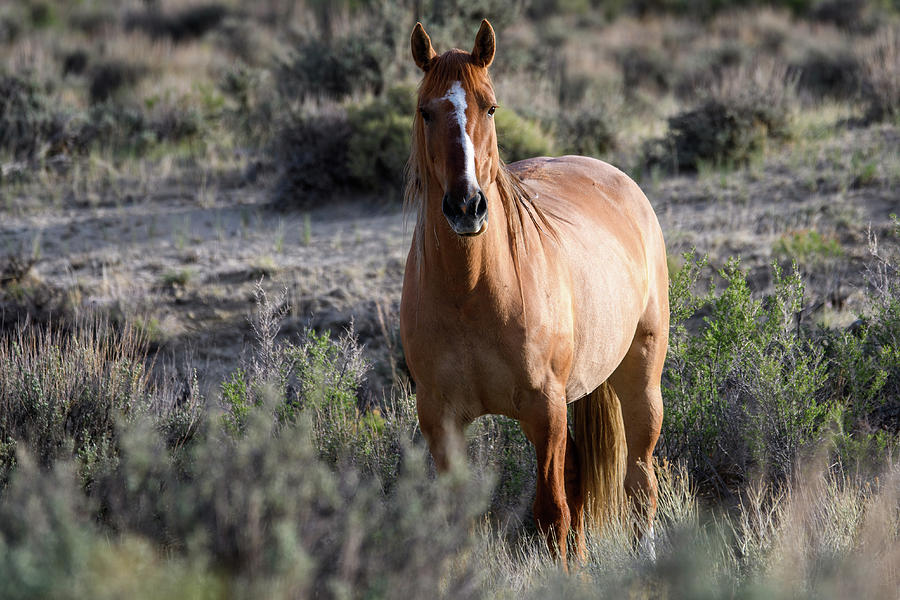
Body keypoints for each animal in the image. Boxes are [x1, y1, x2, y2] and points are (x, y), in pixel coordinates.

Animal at [400, 18, 668, 568]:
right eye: (425, 110)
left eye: (490, 106)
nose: (466, 206)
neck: (470, 292)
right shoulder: (441, 419)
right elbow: (460, 522)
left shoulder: (544, 410)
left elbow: (551, 515)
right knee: (582, 483)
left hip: (640, 381)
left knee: (639, 481)